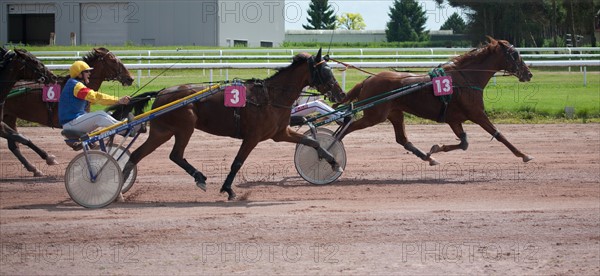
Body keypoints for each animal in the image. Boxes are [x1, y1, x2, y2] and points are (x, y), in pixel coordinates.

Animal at [332, 37, 536, 165]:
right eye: (515, 55)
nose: (529, 74)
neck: (466, 78)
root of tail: (367, 80)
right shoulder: (477, 114)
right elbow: (499, 135)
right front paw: (524, 155)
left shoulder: (454, 119)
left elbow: (464, 143)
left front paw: (435, 149)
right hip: (375, 116)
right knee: (347, 128)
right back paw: (331, 153)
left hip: (394, 113)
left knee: (402, 139)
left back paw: (428, 158)